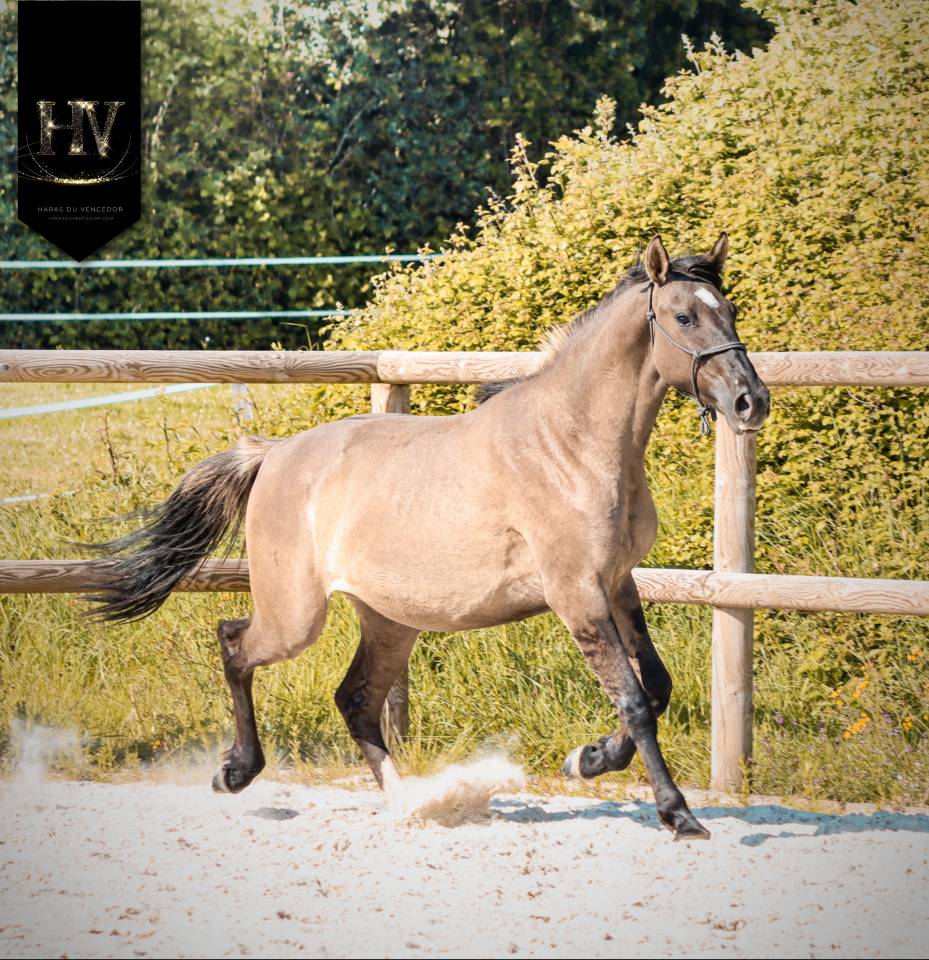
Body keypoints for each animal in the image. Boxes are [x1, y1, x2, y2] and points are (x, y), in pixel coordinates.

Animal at [89, 233, 770, 840]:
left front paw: (588, 759)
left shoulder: (619, 584)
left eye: (731, 311)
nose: (750, 401)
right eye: (684, 316)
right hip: (295, 616)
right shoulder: (576, 593)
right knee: (235, 645)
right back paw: (235, 772)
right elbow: (633, 701)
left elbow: (656, 688)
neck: (571, 444)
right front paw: (677, 815)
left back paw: (407, 802)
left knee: (356, 700)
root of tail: (273, 454)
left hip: (390, 620)